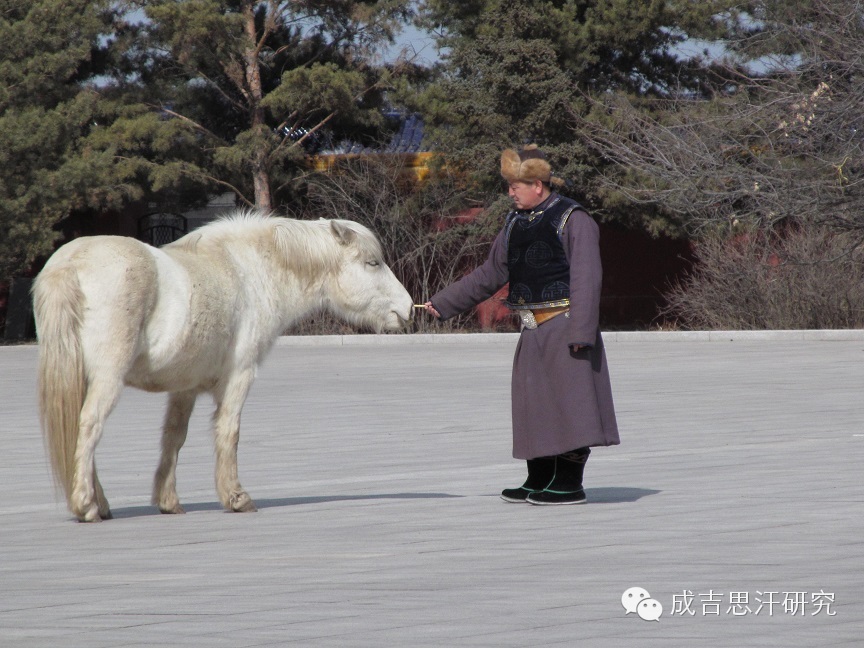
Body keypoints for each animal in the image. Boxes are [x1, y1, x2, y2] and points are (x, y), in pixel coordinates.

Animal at [33, 213, 412, 520]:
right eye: (372, 263)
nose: (407, 308)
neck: (247, 272)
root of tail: (69, 265)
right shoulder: (240, 376)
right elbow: (229, 432)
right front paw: (236, 497)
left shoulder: (185, 387)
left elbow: (174, 437)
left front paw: (169, 501)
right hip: (107, 377)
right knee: (89, 425)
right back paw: (86, 505)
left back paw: (99, 503)